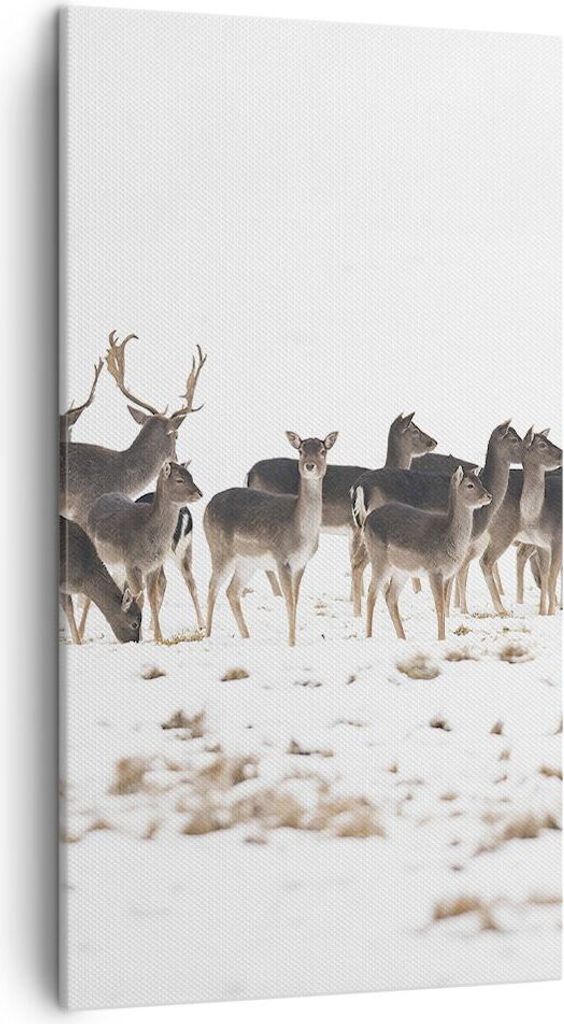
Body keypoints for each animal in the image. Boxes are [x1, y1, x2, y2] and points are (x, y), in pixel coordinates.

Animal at [205, 431, 339, 646]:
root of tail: (207, 506)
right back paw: (206, 633)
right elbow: (289, 600)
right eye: (301, 450)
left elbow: (296, 599)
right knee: (212, 587)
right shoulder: (281, 559)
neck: (301, 534)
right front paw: (291, 643)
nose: (310, 466)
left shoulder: (301, 563)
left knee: (232, 591)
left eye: (322, 450)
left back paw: (246, 635)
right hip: (220, 550)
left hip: (246, 562)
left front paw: (294, 640)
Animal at [246, 413, 436, 599]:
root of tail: (249, 474)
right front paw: (357, 596)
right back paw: (277, 594)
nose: (433, 442)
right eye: (414, 430)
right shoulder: (355, 526)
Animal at [350, 421, 522, 616]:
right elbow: (453, 576)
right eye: (514, 439)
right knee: (361, 564)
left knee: (356, 561)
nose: (527, 451)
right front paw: (450, 611)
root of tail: (360, 487)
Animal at [363, 467, 492, 641]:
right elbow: (439, 606)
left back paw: (402, 637)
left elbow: (445, 604)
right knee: (371, 593)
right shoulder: (434, 571)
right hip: (379, 559)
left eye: (480, 481)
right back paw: (369, 636)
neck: (448, 537)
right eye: (470, 485)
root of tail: (366, 521)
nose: (488, 496)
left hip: (401, 570)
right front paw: (441, 639)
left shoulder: (447, 574)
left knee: (391, 597)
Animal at [480, 429, 562, 615]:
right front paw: (548, 612)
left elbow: (549, 575)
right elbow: (549, 575)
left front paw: (546, 611)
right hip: (502, 532)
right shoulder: (548, 543)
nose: (562, 454)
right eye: (542, 444)